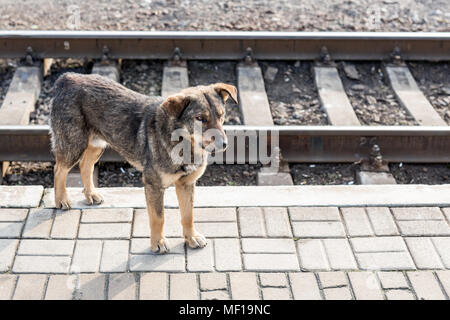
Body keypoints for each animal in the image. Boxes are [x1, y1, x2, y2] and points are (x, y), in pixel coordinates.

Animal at [49, 72, 237, 252]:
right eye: (200, 118)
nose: (224, 144)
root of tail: (66, 78)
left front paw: (191, 237)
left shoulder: (186, 184)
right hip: (73, 145)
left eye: (221, 115)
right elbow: (158, 218)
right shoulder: (153, 185)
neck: (183, 143)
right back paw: (61, 200)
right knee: (59, 169)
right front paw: (158, 243)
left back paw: (90, 194)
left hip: (97, 144)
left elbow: (188, 215)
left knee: (85, 166)